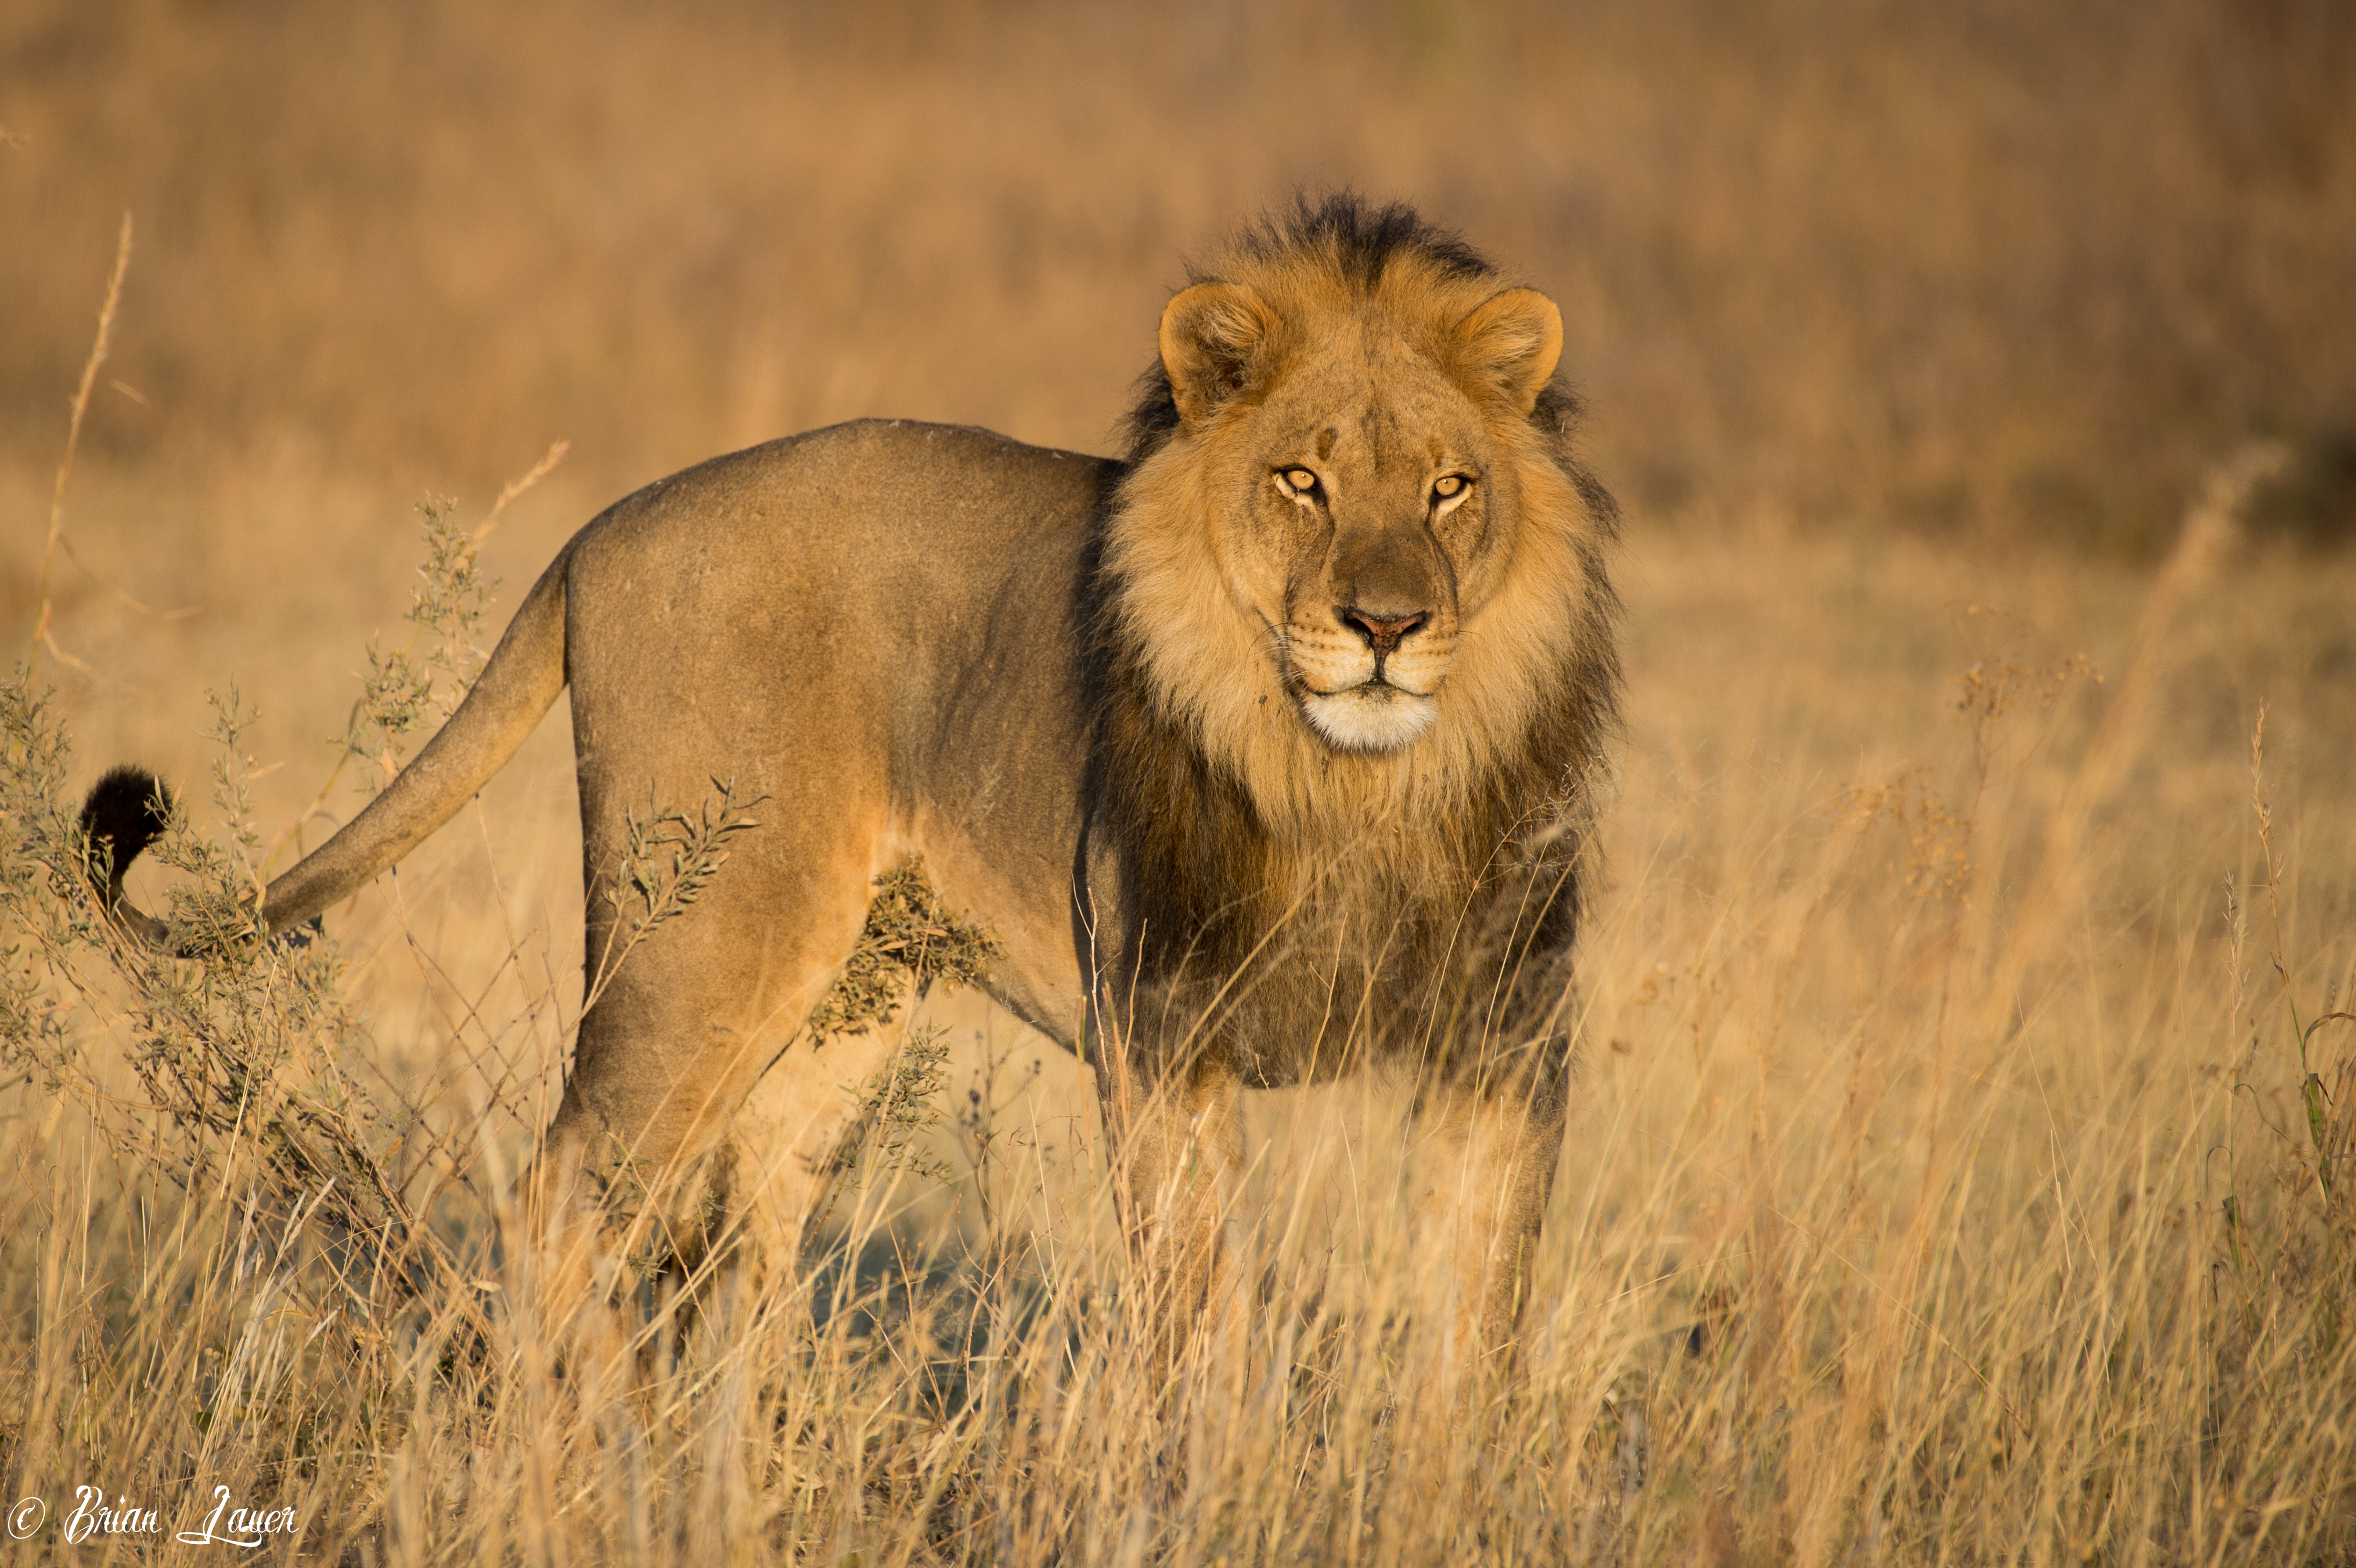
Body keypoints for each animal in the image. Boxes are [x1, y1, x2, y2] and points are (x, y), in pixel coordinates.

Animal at [78, 192, 1620, 1365]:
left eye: (1448, 489)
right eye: (1302, 481)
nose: (1385, 627)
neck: (1348, 788)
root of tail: (598, 526)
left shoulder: (1502, 1050)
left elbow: (1471, 1341)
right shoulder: (1164, 1036)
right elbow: (1203, 1331)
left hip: (848, 993)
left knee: (740, 1254)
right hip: (700, 950)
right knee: (563, 1208)